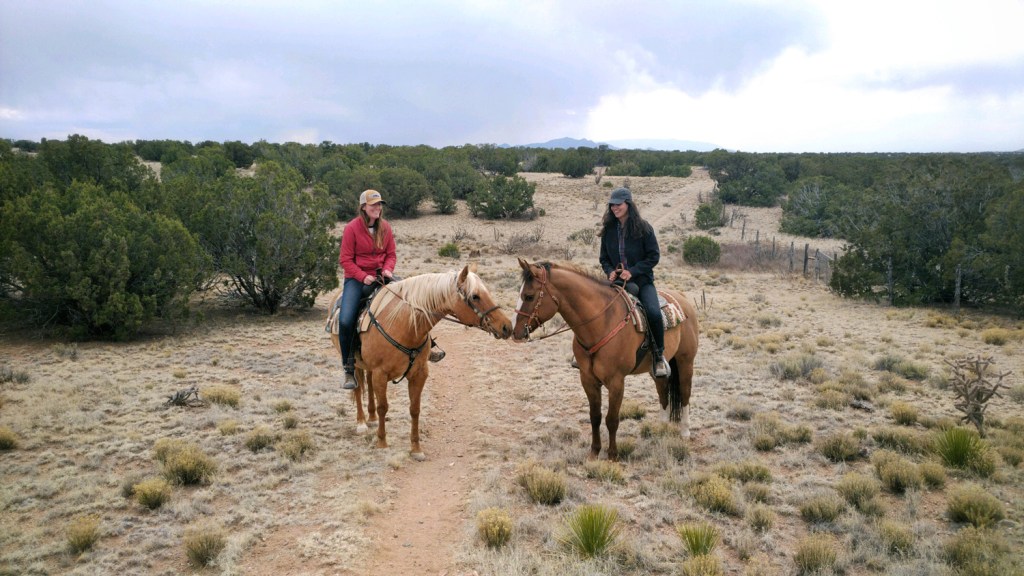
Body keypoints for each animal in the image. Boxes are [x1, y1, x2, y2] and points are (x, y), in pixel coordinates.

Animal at [329, 264, 509, 457]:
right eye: (475, 296)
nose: (506, 326)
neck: (404, 325)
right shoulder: (381, 373)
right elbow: (383, 406)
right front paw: (382, 442)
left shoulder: (419, 374)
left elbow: (415, 409)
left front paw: (416, 448)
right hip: (354, 362)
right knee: (357, 387)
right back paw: (362, 422)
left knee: (368, 384)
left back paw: (371, 418)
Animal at [509, 258, 696, 459]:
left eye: (528, 296)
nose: (515, 332)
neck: (601, 323)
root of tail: (683, 300)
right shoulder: (588, 379)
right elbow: (595, 416)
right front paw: (595, 451)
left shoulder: (616, 381)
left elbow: (612, 419)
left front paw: (612, 454)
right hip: (657, 369)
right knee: (663, 392)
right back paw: (662, 428)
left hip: (685, 361)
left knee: (685, 393)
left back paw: (685, 431)